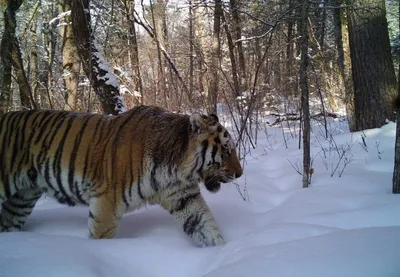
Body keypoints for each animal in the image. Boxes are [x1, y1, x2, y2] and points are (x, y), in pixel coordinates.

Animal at [0, 104, 242, 246]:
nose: (240, 174)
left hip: (22, 198)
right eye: (227, 150)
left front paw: (222, 254)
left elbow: (205, 226)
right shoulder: (106, 204)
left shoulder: (184, 197)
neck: (176, 170)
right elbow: (102, 237)